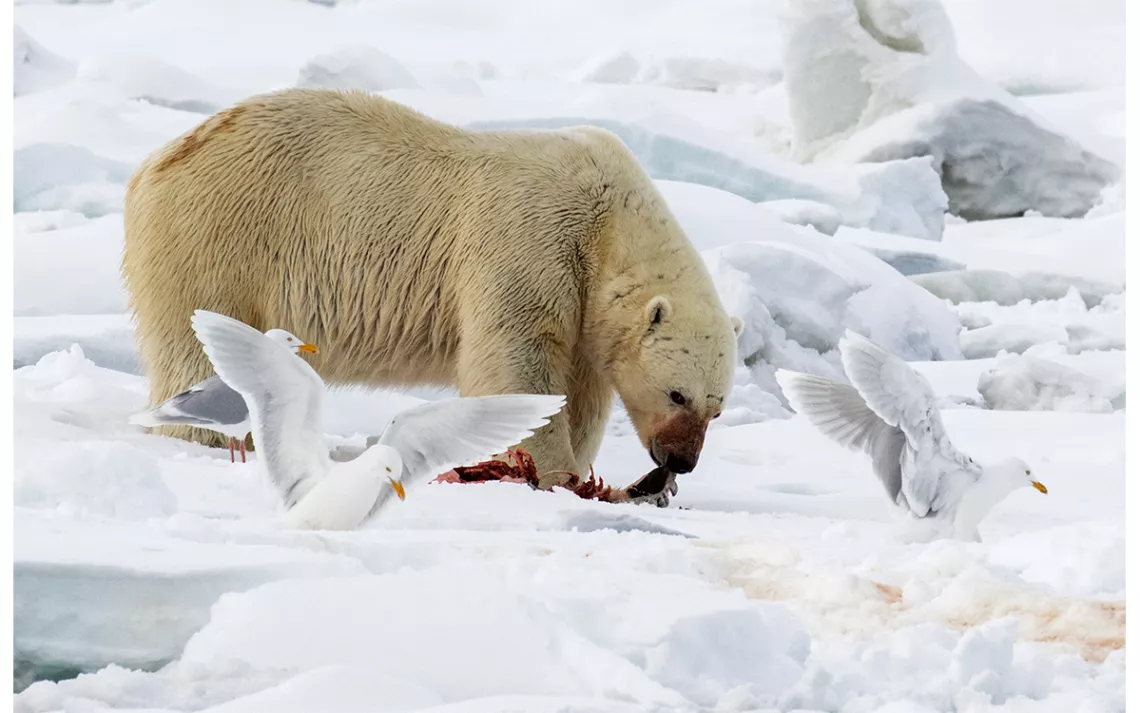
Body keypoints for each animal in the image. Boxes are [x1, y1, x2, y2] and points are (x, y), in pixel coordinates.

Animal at [122, 88, 738, 497]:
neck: (607, 221)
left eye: (717, 406)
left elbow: (582, 389)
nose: (681, 462)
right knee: (202, 345)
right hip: (221, 238)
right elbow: (518, 360)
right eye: (677, 394)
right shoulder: (535, 239)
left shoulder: (587, 309)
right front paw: (555, 476)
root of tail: (155, 164)